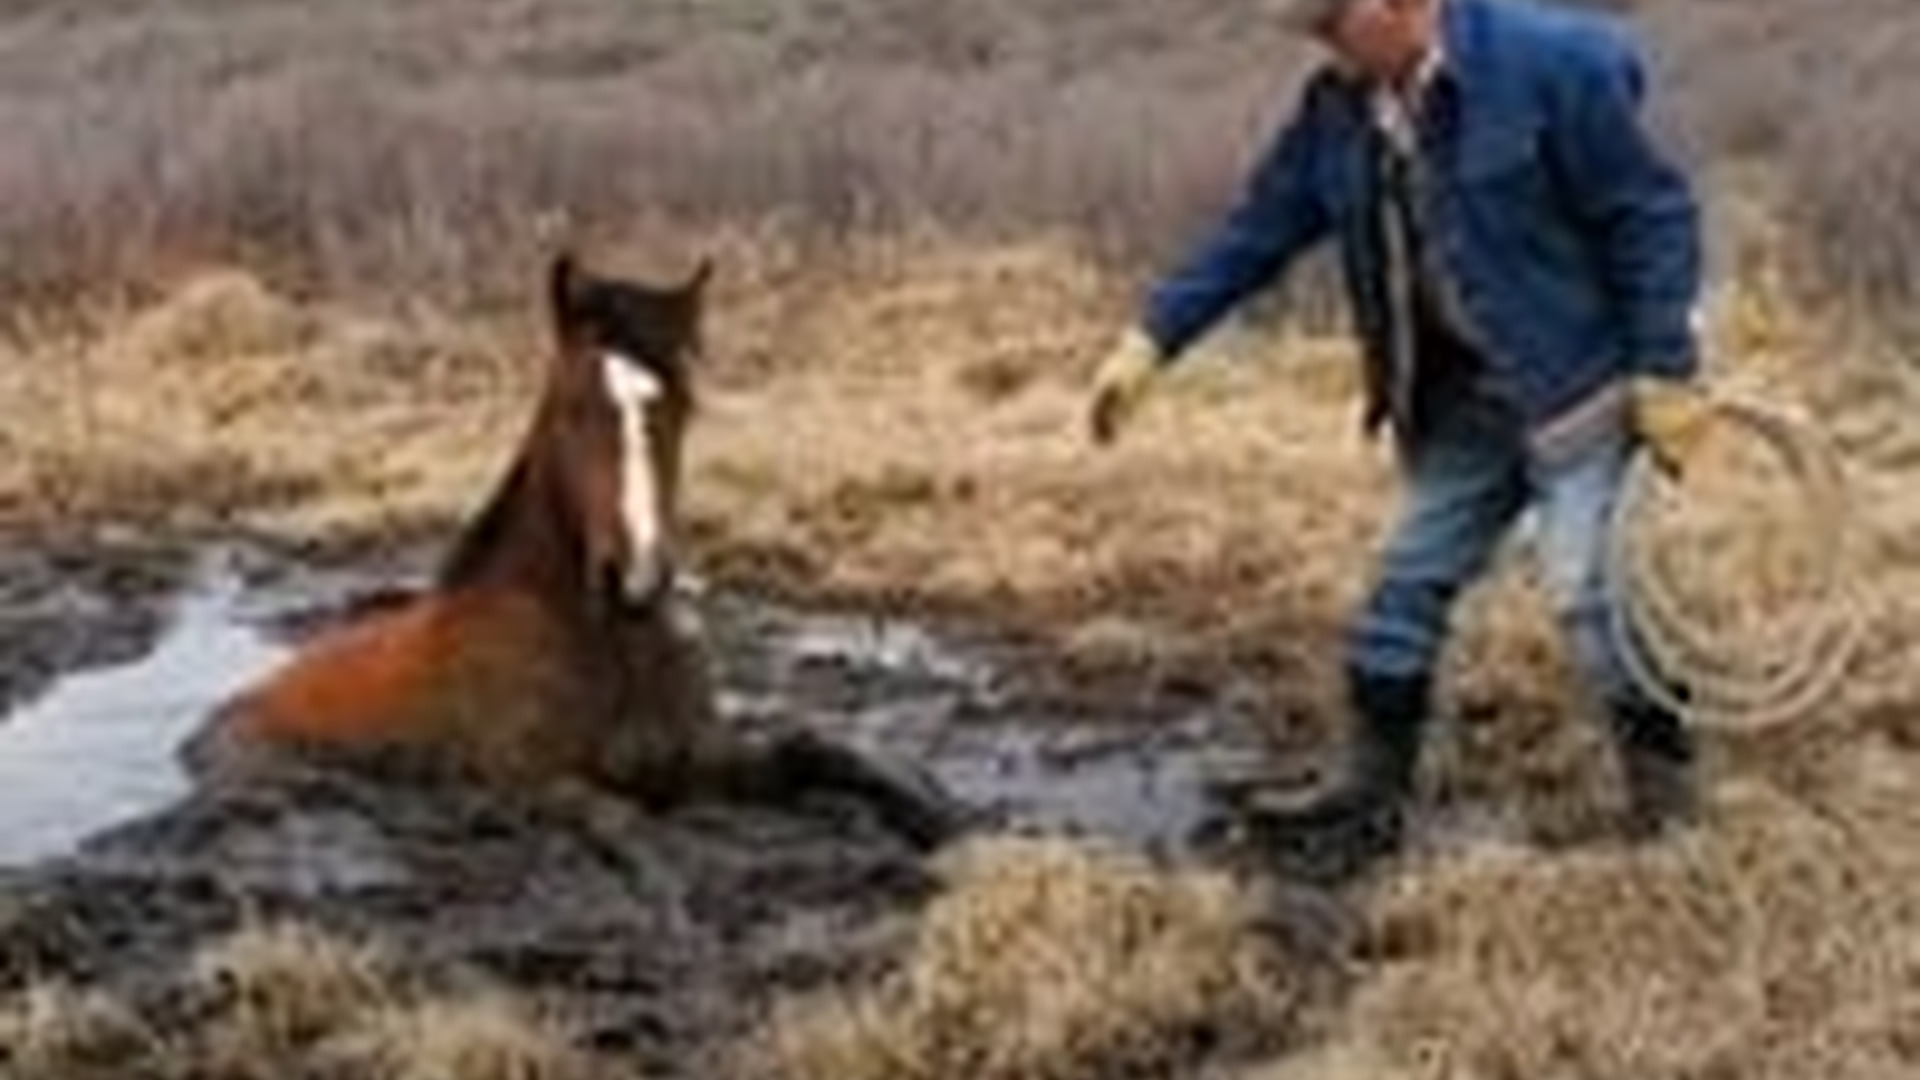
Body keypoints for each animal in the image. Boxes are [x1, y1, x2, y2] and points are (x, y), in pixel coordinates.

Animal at [182, 254, 960, 848]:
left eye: (682, 408)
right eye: (573, 408)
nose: (636, 578)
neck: (604, 641)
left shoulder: (705, 757)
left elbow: (824, 752)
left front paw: (938, 821)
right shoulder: (538, 783)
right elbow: (627, 825)